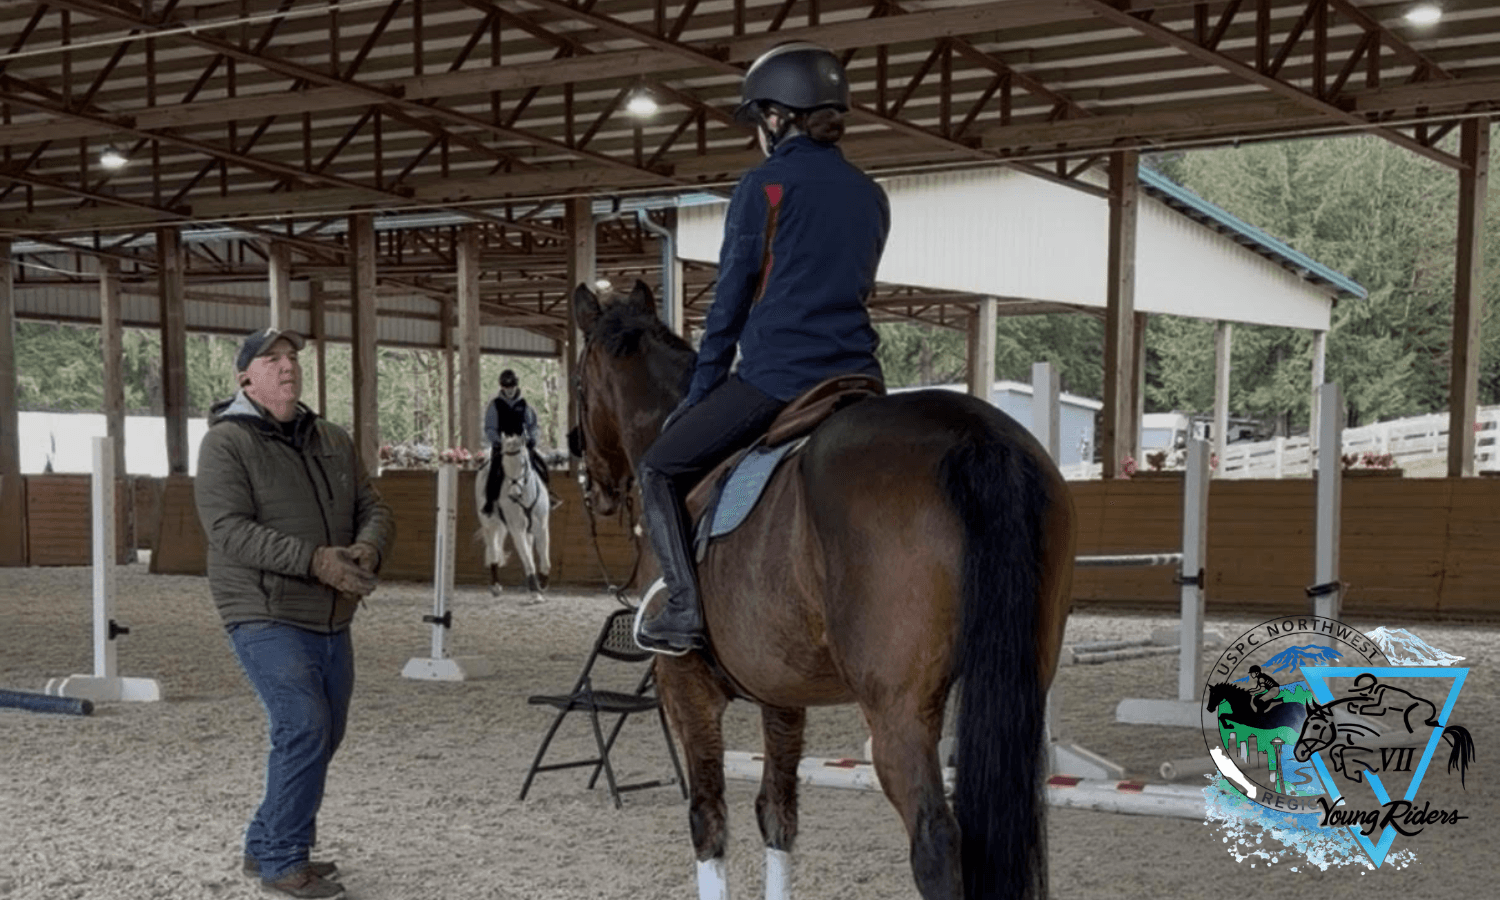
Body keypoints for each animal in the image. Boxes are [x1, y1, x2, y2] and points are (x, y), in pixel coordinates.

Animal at [474, 433, 551, 600]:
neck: (525, 497)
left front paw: (542, 584)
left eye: (523, 463)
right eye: (503, 465)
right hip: (490, 524)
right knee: (493, 549)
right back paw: (496, 586)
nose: (514, 495)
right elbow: (527, 560)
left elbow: (544, 559)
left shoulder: (541, 527)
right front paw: (535, 591)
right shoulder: (517, 529)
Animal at [571, 282, 1076, 900]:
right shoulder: (782, 693)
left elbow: (708, 820)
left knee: (935, 841)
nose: (594, 485)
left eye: (577, 384)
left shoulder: (684, 686)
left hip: (898, 713)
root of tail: (975, 433)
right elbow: (777, 815)